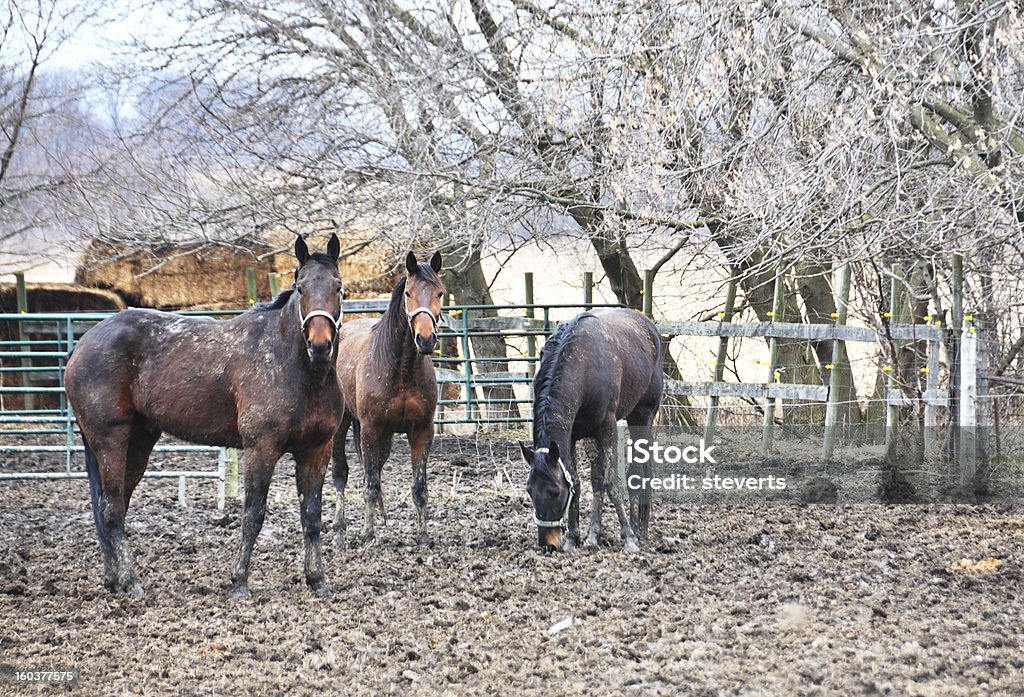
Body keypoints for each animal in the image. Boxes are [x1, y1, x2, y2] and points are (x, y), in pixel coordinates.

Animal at [65, 235, 344, 597]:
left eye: (338, 287)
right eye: (300, 287)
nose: (319, 346)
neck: (295, 368)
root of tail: (82, 345)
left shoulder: (316, 450)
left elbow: (311, 516)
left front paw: (317, 580)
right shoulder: (261, 448)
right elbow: (253, 514)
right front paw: (240, 582)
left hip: (138, 443)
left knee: (116, 506)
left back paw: (115, 579)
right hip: (110, 440)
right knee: (110, 510)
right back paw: (131, 582)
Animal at [331, 249, 444, 544]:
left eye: (439, 292)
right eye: (408, 293)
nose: (425, 339)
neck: (400, 368)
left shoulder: (421, 431)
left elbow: (419, 487)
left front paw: (423, 536)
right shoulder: (371, 429)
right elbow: (370, 483)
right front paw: (367, 533)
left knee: (376, 469)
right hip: (344, 426)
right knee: (342, 473)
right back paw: (339, 526)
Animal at [520, 307, 663, 552]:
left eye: (555, 491)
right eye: (530, 490)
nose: (548, 544)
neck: (583, 365)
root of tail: (648, 326)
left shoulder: (607, 429)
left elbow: (610, 481)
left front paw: (628, 537)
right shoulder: (572, 436)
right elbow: (578, 482)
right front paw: (575, 538)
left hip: (642, 417)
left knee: (636, 471)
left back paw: (637, 529)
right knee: (597, 478)